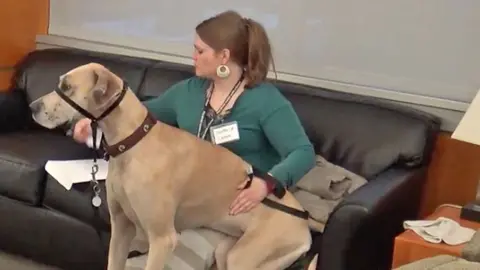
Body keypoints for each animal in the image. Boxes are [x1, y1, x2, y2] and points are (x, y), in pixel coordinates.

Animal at [30, 62, 312, 268]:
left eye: (67, 86)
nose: (32, 106)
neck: (133, 143)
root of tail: (306, 226)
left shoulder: (162, 240)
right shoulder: (121, 228)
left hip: (245, 257)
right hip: (227, 251)